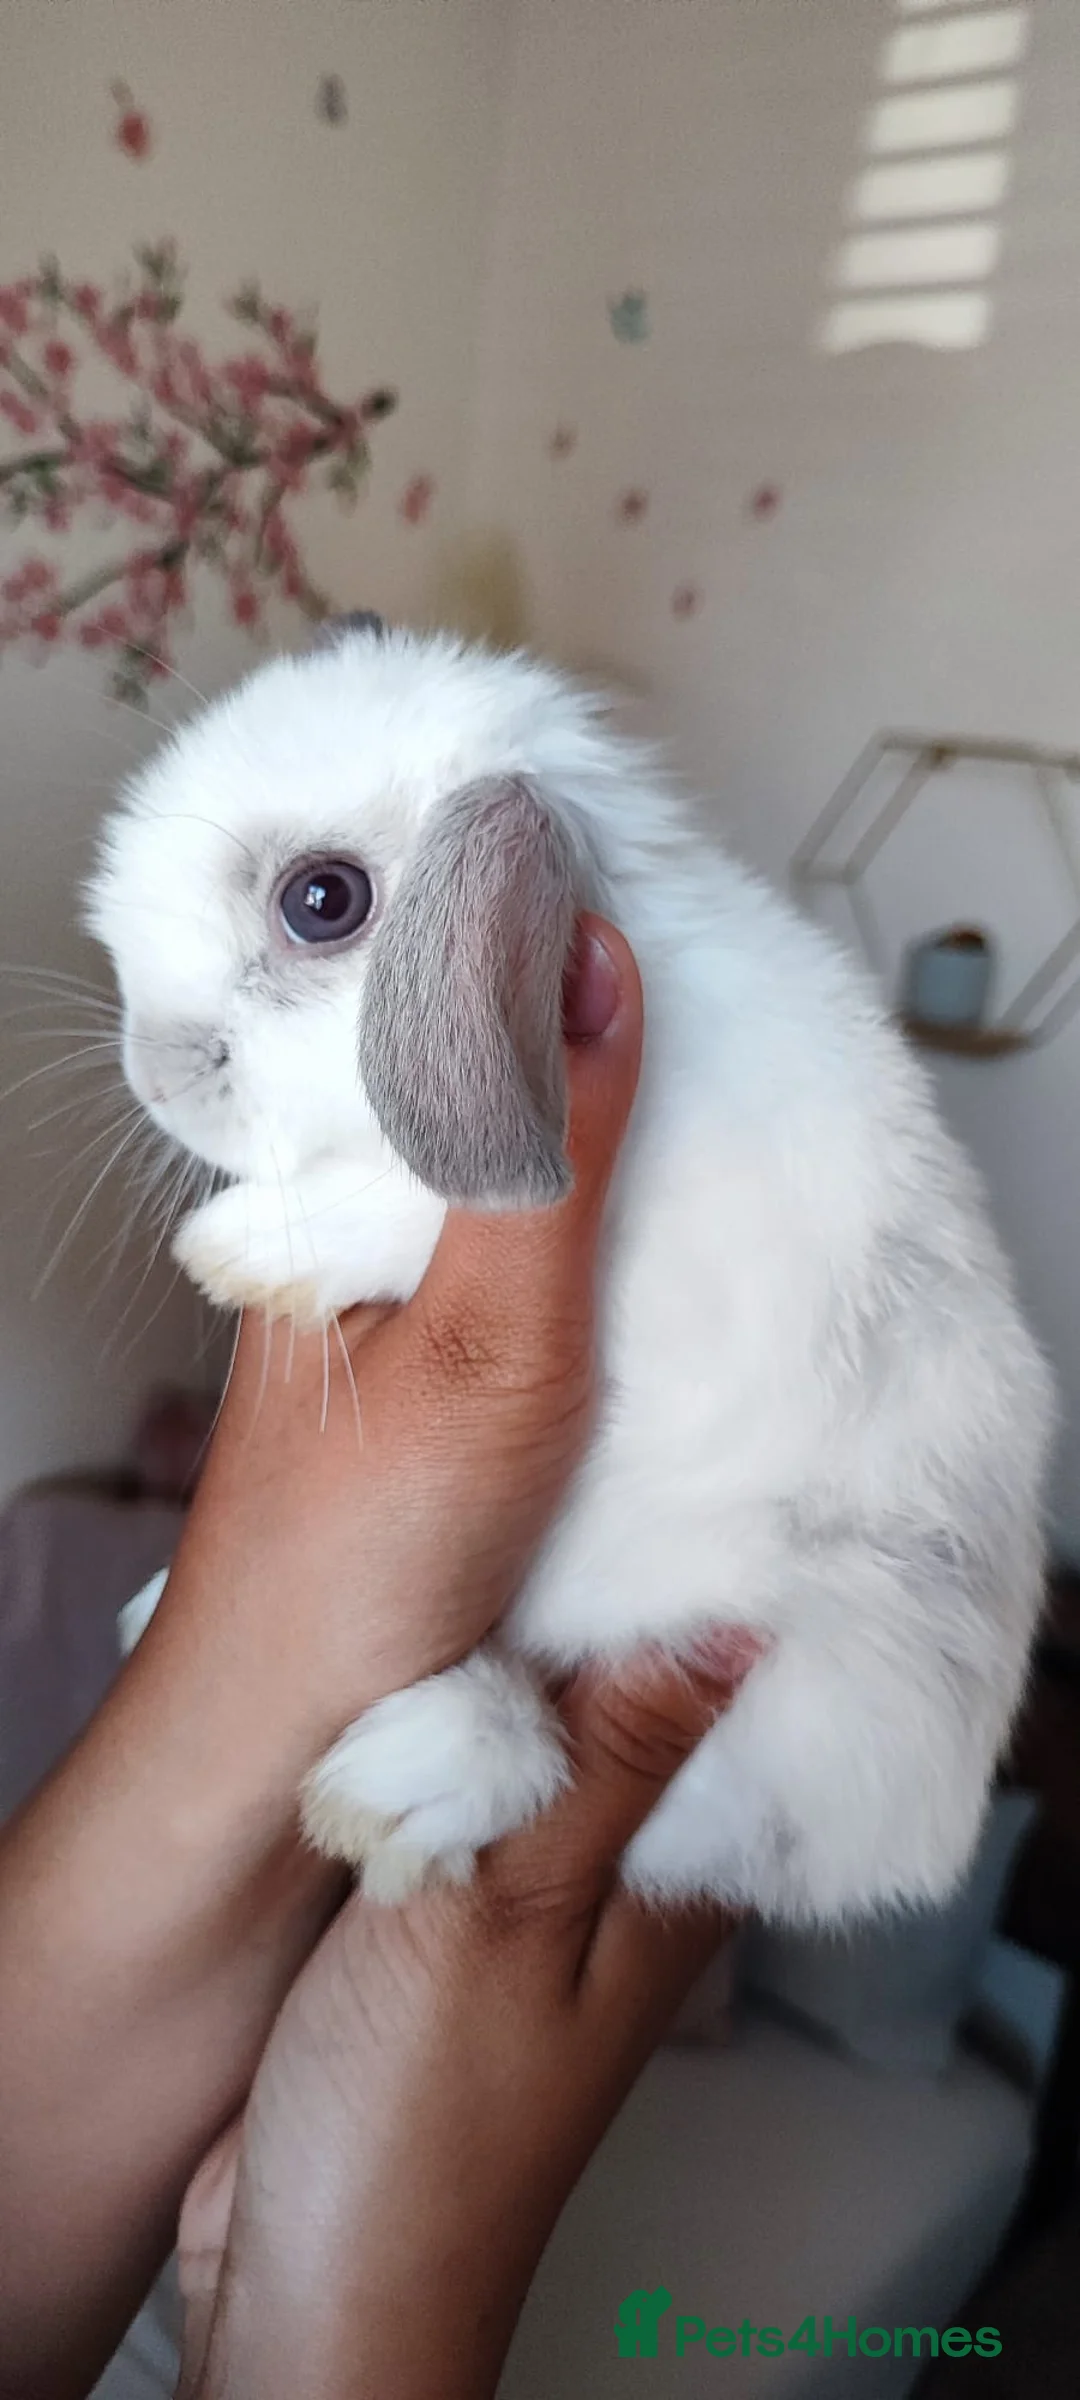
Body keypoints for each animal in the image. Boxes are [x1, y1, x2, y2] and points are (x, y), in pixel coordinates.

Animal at [91, 616, 1055, 1927]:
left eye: (323, 901)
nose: (159, 1074)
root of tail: (930, 1839)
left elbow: (418, 1208)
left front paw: (241, 1251)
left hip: (807, 1675)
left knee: (625, 1783)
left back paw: (400, 1781)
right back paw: (163, 1623)